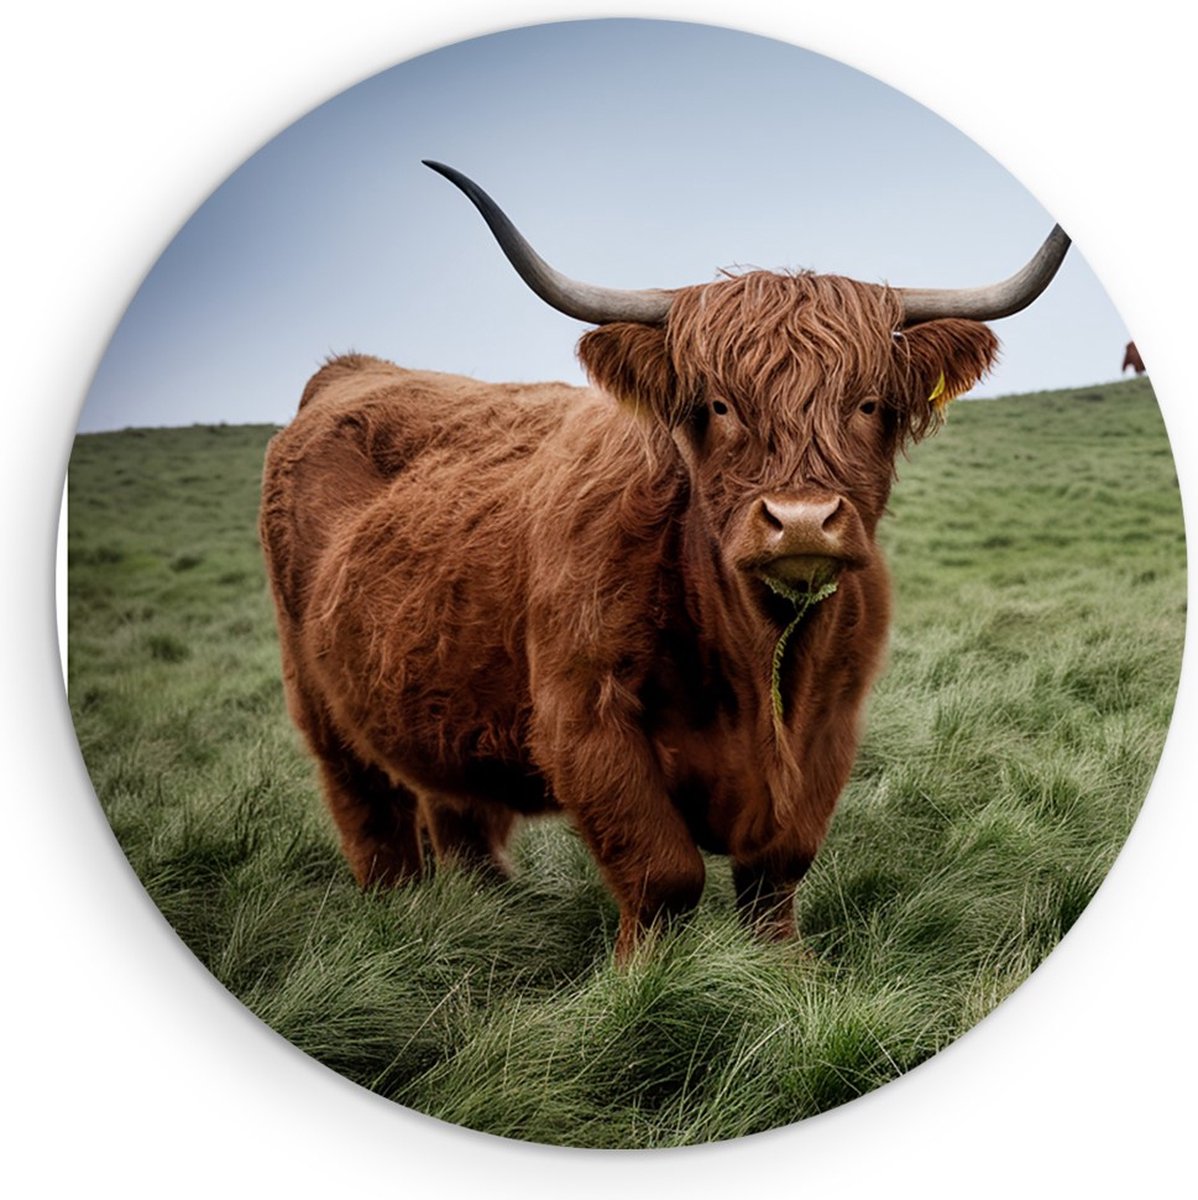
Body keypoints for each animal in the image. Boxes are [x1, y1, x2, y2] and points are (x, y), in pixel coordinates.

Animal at [260, 162, 1070, 961]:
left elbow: (777, 868)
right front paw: (639, 979)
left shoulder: (831, 724)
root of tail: (353, 369)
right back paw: (396, 917)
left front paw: (786, 971)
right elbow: (662, 872)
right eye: (718, 405)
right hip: (321, 702)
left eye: (868, 403)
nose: (801, 521)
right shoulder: (585, 721)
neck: (753, 652)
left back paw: (490, 909)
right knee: (372, 815)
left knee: (457, 810)